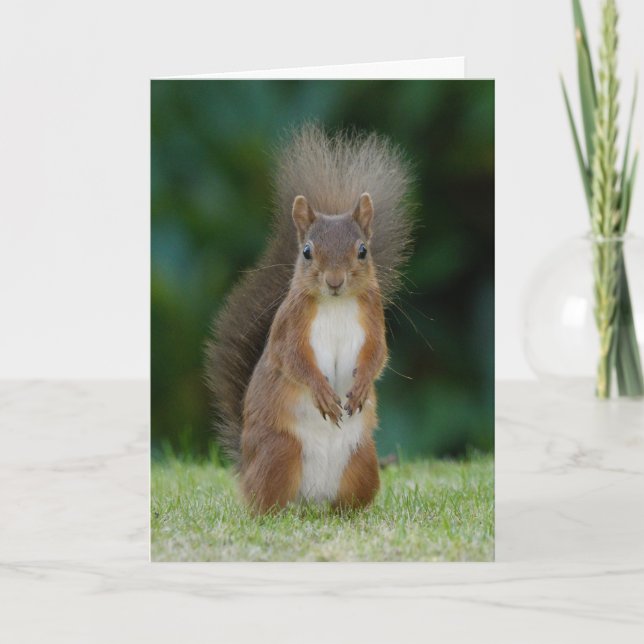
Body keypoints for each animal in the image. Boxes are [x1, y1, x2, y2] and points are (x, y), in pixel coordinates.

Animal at [205, 124, 413, 513]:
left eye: (363, 251)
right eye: (306, 252)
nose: (334, 281)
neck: (336, 305)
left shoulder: (373, 320)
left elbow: (378, 354)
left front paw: (360, 387)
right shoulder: (290, 326)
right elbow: (293, 360)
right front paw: (322, 393)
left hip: (363, 460)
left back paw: (345, 513)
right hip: (281, 453)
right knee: (265, 502)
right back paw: (275, 513)